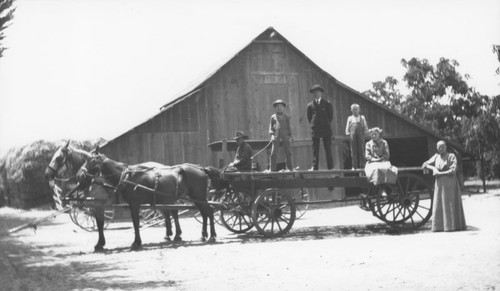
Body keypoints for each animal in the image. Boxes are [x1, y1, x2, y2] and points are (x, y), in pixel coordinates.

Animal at [79, 148, 218, 251]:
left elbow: (135, 223)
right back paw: (203, 235)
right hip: (196, 198)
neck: (127, 177)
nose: (80, 175)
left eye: (92, 161)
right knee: (204, 213)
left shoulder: (134, 204)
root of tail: (201, 169)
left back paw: (212, 236)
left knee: (209, 212)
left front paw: (136, 243)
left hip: (199, 197)